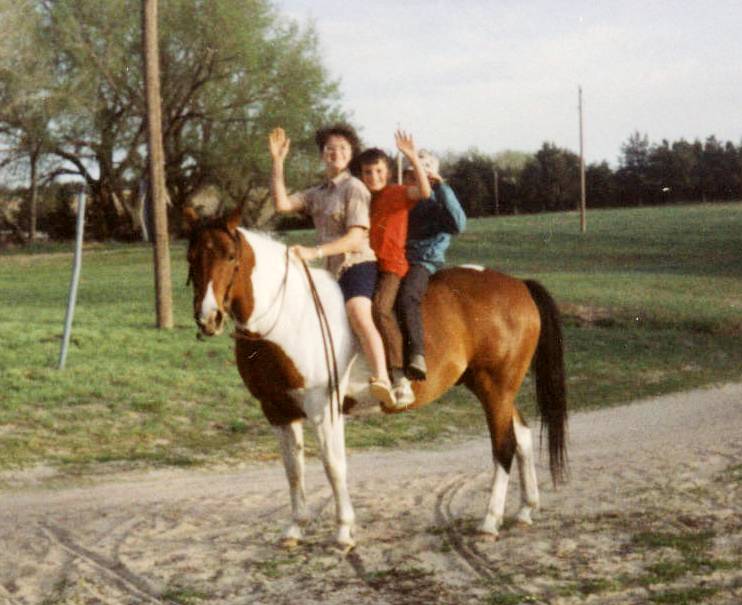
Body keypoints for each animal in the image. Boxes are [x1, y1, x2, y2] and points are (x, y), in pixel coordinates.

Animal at [186, 208, 568, 548]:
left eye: (230, 256)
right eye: (191, 257)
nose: (208, 317)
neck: (289, 315)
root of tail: (519, 285)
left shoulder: (323, 408)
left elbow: (333, 465)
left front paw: (343, 532)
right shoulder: (278, 411)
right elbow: (293, 470)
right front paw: (295, 529)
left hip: (495, 388)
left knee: (503, 447)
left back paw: (489, 522)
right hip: (494, 388)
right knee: (522, 437)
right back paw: (524, 511)